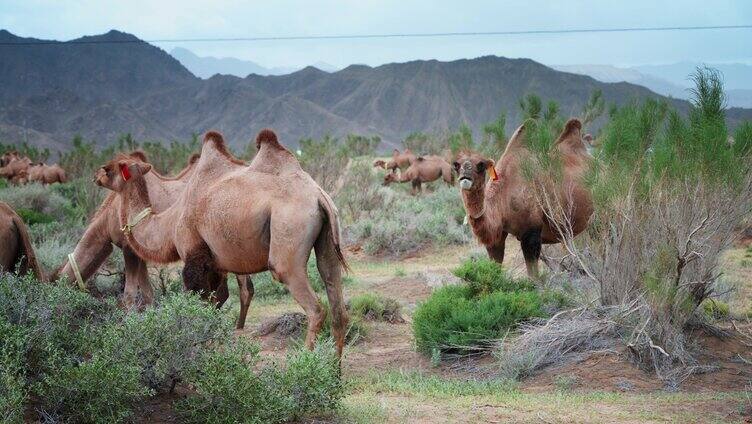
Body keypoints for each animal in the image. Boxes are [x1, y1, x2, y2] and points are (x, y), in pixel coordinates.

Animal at [96, 130, 350, 358]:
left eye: (109, 168)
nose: (96, 177)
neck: (171, 221)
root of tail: (319, 197)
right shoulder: (214, 263)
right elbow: (215, 301)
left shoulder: (193, 256)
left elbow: (198, 303)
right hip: (328, 240)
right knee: (336, 300)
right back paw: (333, 374)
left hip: (287, 239)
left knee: (315, 308)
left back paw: (305, 367)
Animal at [452, 118, 592, 278]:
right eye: (457, 166)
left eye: (480, 165)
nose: (465, 175)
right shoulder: (497, 238)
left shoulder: (531, 234)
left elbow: (534, 277)